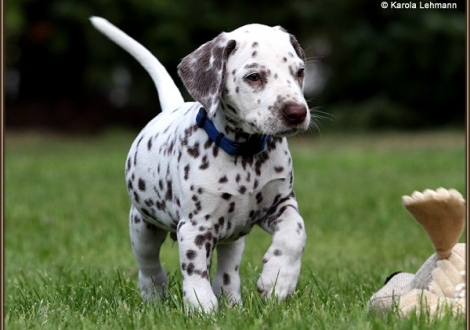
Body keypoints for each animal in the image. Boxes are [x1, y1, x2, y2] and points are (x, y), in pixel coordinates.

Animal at [91, 17, 312, 312]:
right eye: (254, 76)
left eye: (299, 72)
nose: (296, 113)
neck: (244, 154)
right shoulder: (195, 226)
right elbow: (194, 270)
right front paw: (201, 307)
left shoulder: (279, 204)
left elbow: (295, 231)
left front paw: (278, 279)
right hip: (142, 225)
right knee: (149, 265)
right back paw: (155, 294)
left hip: (233, 237)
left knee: (227, 270)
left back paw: (232, 302)